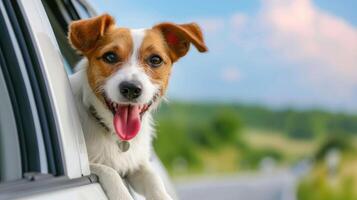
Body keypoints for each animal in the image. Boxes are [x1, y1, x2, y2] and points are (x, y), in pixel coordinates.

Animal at [67, 14, 206, 200]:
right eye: (110, 57)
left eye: (155, 60)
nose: (131, 89)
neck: (115, 135)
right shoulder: (93, 165)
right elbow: (109, 170)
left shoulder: (137, 165)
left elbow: (154, 181)